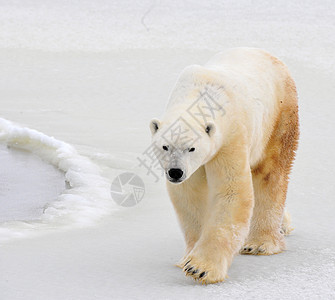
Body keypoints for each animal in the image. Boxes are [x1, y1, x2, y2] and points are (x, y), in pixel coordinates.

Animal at [150, 47, 300, 284]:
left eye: (191, 148)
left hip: (278, 117)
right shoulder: (193, 167)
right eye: (165, 146)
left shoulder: (230, 137)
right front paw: (187, 258)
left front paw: (200, 268)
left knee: (270, 174)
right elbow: (190, 197)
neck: (199, 95)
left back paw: (260, 243)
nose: (175, 172)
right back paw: (283, 225)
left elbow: (231, 192)